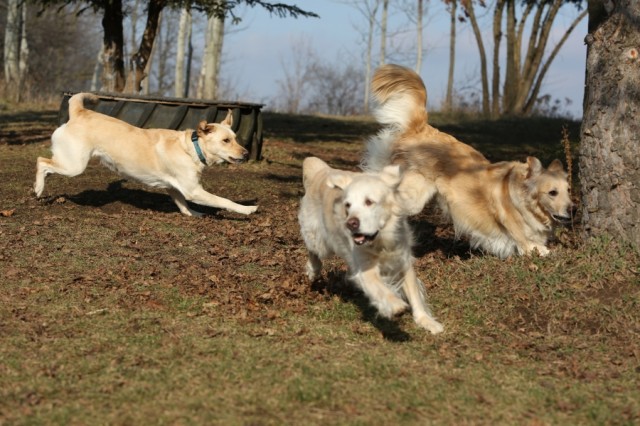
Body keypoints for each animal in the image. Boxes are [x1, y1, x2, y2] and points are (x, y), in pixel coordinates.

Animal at [33, 91, 258, 215]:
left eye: (236, 138)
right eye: (226, 140)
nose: (246, 153)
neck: (191, 148)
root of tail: (79, 112)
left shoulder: (174, 188)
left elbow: (182, 204)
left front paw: (192, 213)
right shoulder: (193, 190)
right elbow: (223, 201)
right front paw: (248, 209)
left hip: (70, 163)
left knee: (47, 165)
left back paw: (38, 186)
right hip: (74, 166)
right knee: (41, 161)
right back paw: (38, 188)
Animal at [298, 156, 442, 332]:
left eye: (369, 202)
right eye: (348, 205)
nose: (350, 223)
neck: (381, 241)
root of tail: (322, 169)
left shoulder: (403, 260)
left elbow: (414, 293)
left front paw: (426, 320)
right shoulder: (366, 270)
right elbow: (381, 289)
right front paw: (394, 304)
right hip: (319, 240)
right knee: (313, 251)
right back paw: (313, 270)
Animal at [362, 63, 572, 256]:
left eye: (568, 190)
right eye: (552, 192)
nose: (573, 210)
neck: (522, 196)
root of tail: (421, 127)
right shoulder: (526, 245)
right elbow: (544, 250)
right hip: (412, 197)